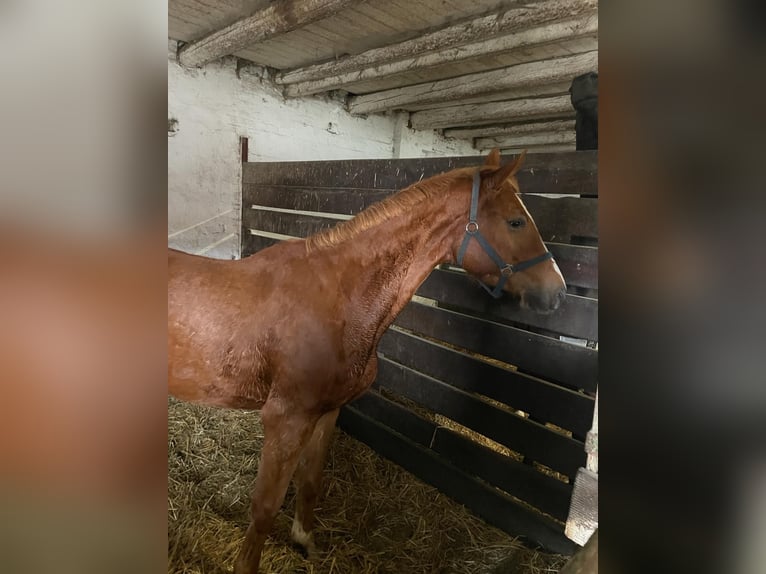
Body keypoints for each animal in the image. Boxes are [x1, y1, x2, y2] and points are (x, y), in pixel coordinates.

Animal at [170, 151, 568, 572]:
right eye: (516, 221)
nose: (558, 292)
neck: (338, 296)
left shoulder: (327, 413)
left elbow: (310, 483)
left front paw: (305, 542)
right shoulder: (285, 419)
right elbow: (264, 507)